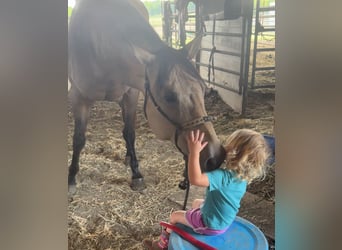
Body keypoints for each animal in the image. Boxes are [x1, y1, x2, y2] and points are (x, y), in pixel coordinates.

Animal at [68, 0, 226, 194]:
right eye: (169, 96)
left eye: (203, 90)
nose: (215, 157)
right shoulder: (78, 97)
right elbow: (78, 139)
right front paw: (71, 177)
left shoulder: (131, 94)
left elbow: (129, 133)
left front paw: (136, 174)